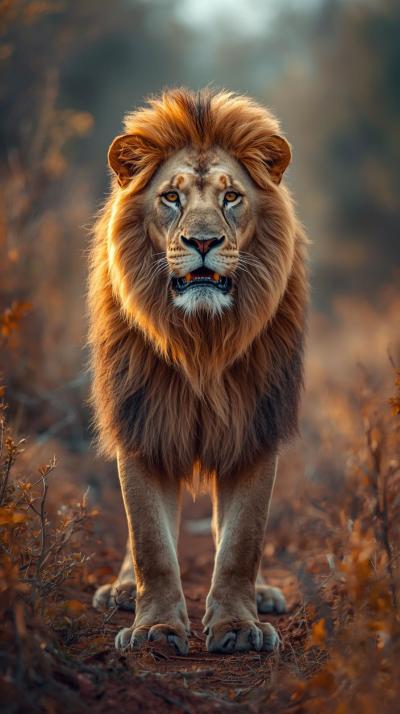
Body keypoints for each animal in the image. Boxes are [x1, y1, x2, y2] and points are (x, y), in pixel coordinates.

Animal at [88, 88, 308, 655]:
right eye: (171, 197)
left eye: (231, 197)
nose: (203, 243)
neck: (201, 342)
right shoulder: (143, 422)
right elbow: (150, 542)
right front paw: (155, 629)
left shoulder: (255, 426)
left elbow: (242, 541)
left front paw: (238, 626)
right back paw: (122, 591)